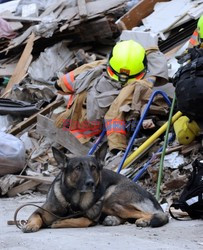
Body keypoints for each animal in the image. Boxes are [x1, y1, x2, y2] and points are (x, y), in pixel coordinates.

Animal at [22, 146, 168, 232]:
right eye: (78, 168)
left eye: (93, 167)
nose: (90, 183)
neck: (74, 203)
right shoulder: (39, 211)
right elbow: (36, 217)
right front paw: (30, 224)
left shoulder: (90, 219)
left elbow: (81, 221)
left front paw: (60, 222)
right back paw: (113, 220)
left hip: (111, 199)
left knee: (154, 214)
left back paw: (144, 220)